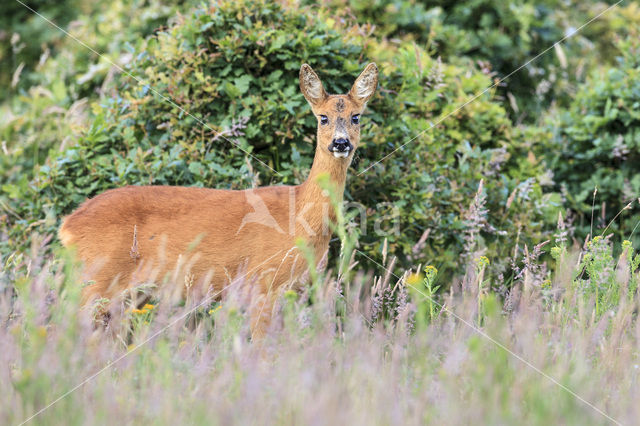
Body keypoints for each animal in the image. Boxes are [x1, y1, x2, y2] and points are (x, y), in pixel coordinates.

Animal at [57, 61, 378, 338]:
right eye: (323, 118)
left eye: (356, 117)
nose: (340, 143)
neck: (299, 211)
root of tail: (67, 225)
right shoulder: (262, 280)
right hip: (97, 278)